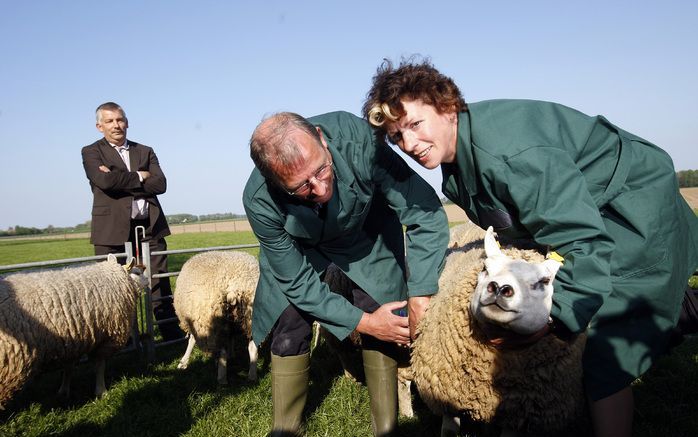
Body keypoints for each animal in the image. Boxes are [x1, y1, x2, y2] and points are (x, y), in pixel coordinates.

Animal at [0, 254, 147, 408]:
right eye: (137, 273)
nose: (148, 278)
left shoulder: (73, 338)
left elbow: (69, 367)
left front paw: (64, 391)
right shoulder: (107, 337)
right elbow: (100, 365)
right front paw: (101, 391)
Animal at [173, 250, 260, 384]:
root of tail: (238, 285)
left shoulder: (197, 321)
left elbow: (191, 340)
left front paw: (183, 362)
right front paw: (232, 353)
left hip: (217, 323)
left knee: (222, 352)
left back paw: (222, 378)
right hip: (252, 318)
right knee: (253, 349)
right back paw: (252, 376)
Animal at [410, 228, 584, 436]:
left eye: (544, 281)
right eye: (485, 268)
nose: (499, 288)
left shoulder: (517, 414)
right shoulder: (445, 395)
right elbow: (449, 430)